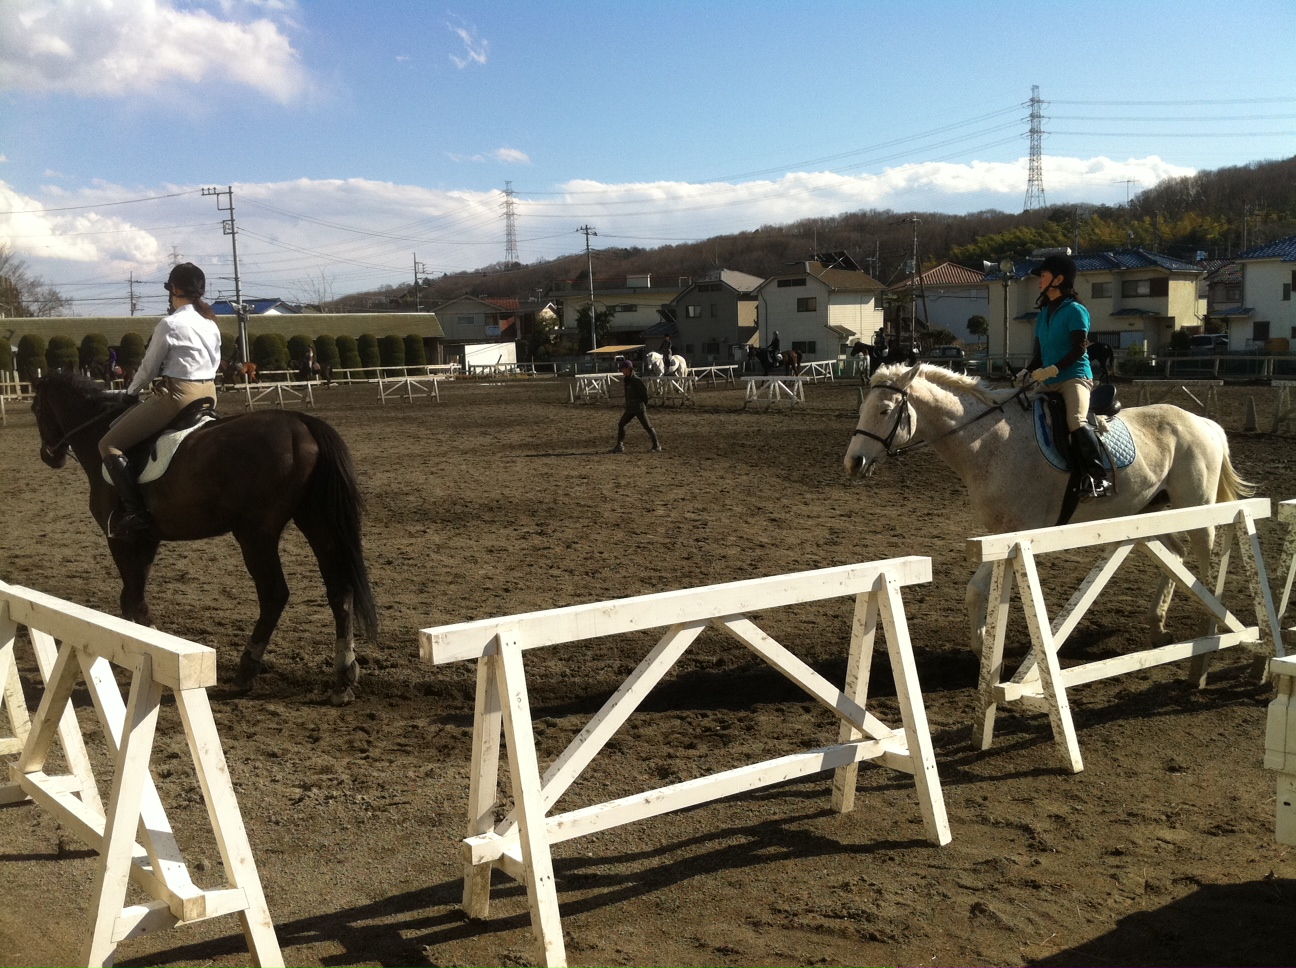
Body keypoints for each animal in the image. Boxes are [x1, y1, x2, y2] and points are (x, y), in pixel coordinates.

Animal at [30, 370, 378, 704]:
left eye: (35, 408)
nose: (50, 456)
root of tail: (301, 425)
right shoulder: (146, 539)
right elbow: (132, 595)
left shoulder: (120, 538)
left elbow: (132, 597)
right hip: (316, 524)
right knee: (339, 591)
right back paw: (343, 680)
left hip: (256, 534)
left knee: (274, 595)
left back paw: (245, 673)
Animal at [844, 362, 1249, 658]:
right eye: (862, 409)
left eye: (884, 410)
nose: (853, 462)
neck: (989, 441)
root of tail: (1204, 423)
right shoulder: (997, 535)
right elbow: (977, 590)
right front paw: (982, 644)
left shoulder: (1016, 533)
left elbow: (984, 591)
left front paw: (987, 645)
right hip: (1152, 511)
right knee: (1176, 554)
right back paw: (1157, 624)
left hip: (1196, 508)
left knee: (1203, 553)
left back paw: (1211, 624)